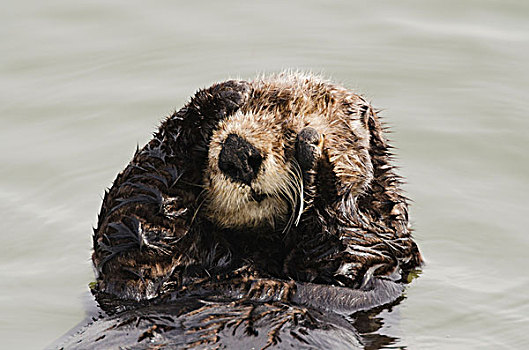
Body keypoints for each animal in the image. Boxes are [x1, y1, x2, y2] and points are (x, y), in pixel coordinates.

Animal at [66, 72, 420, 348]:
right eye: (219, 129)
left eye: (290, 127)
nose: (237, 150)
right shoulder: (137, 277)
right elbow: (135, 221)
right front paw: (225, 93)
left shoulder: (380, 256)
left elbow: (349, 250)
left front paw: (314, 159)